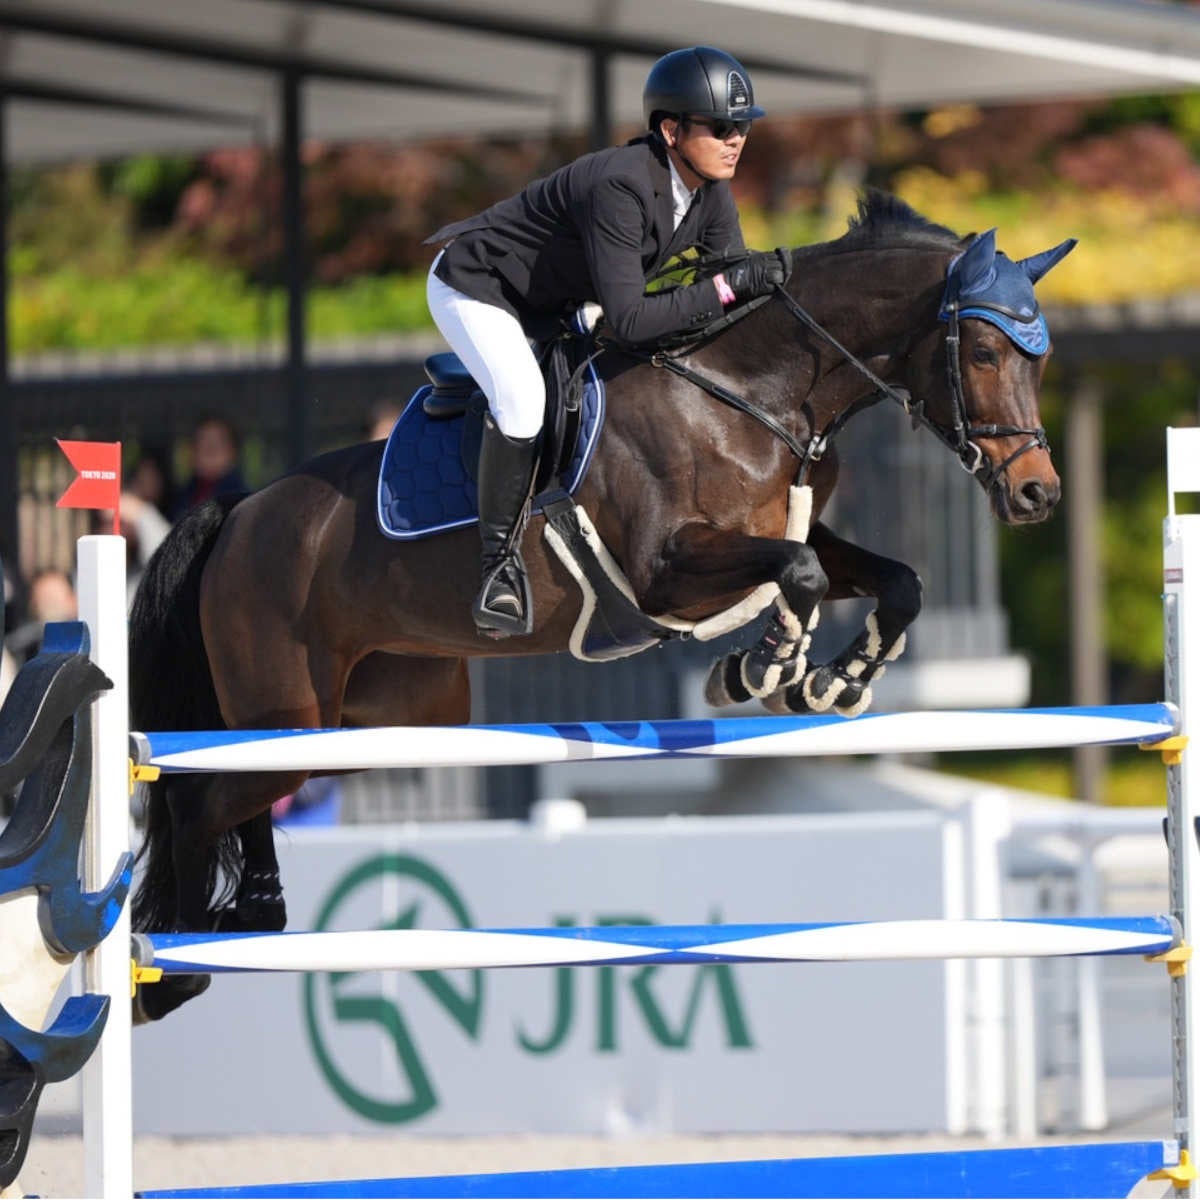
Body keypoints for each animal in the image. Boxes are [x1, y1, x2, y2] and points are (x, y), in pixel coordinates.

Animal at [128, 193, 1074, 1020]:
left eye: (1039, 359)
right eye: (983, 354)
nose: (1037, 495)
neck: (750, 388)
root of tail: (240, 510)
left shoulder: (790, 534)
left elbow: (891, 579)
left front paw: (835, 679)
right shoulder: (665, 568)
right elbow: (799, 573)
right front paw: (760, 668)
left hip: (372, 720)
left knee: (243, 794)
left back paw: (251, 915)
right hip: (287, 701)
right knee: (194, 801)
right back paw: (175, 968)